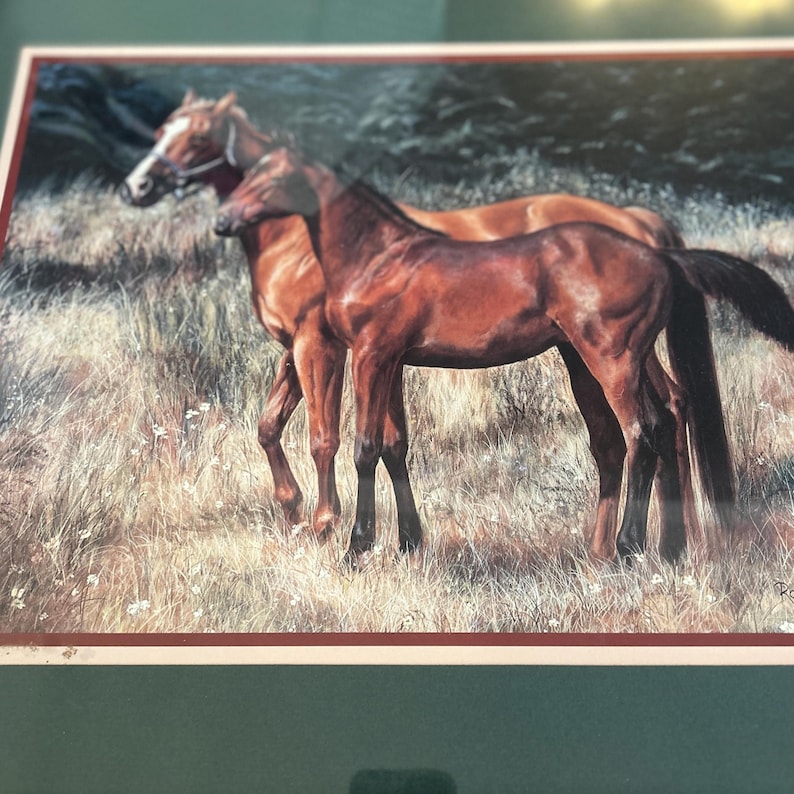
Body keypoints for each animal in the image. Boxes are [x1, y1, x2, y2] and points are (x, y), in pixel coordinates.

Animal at [213, 143, 794, 565]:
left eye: (269, 180)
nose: (222, 222)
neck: (379, 258)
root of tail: (661, 255)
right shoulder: (392, 361)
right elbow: (396, 447)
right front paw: (407, 543)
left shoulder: (370, 355)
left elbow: (363, 447)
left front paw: (356, 547)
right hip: (603, 359)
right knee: (650, 424)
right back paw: (661, 548)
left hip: (613, 359)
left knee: (643, 432)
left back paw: (630, 547)